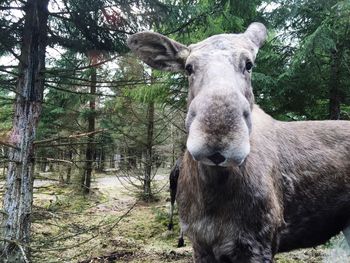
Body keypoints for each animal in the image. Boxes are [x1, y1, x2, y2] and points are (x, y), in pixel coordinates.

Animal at [128, 23, 350, 263]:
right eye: (188, 67)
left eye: (249, 64)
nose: (219, 135)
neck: (212, 192)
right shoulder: (200, 243)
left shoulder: (259, 244)